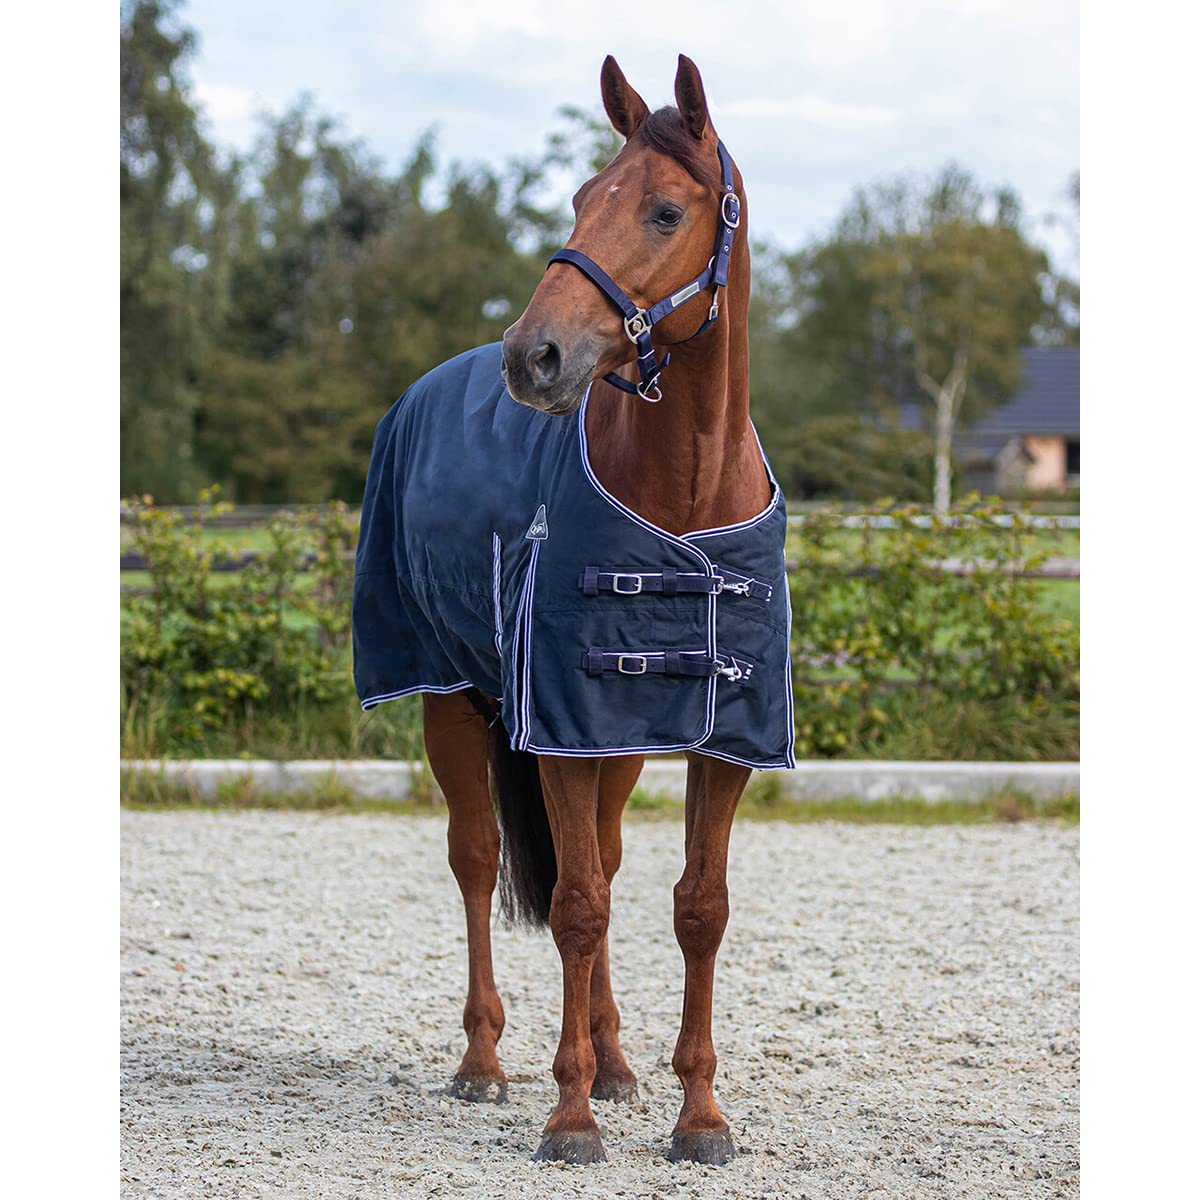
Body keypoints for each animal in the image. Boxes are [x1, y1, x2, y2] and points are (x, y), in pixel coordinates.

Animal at [352, 54, 793, 1166]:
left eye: (666, 209)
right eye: (584, 197)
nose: (534, 356)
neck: (684, 498)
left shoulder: (720, 741)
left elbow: (696, 908)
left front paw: (698, 1115)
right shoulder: (555, 729)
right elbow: (576, 906)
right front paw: (569, 1115)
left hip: (616, 743)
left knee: (604, 859)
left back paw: (618, 1058)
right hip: (452, 700)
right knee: (478, 862)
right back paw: (483, 1062)